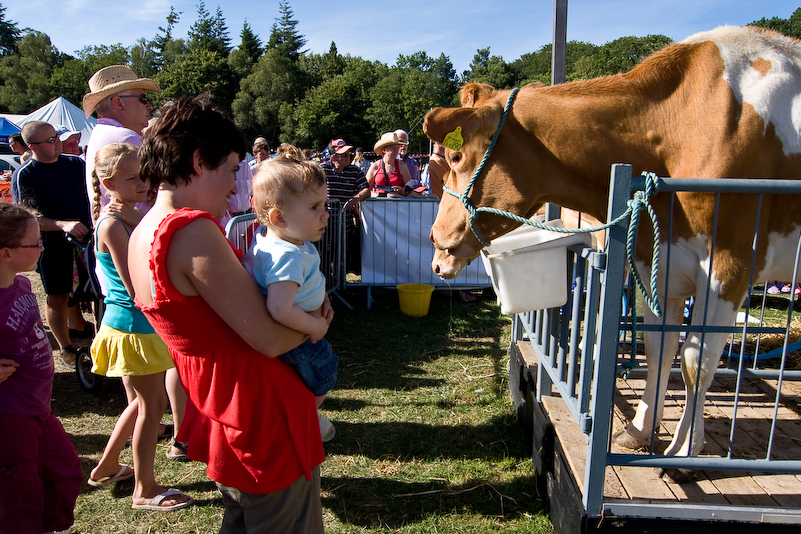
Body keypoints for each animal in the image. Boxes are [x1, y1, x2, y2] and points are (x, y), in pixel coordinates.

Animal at [422, 25, 800, 468]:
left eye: (454, 155)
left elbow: (696, 361)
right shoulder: (663, 263)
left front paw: (685, 451)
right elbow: (660, 349)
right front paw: (638, 429)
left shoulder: (729, 264)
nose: (435, 242)